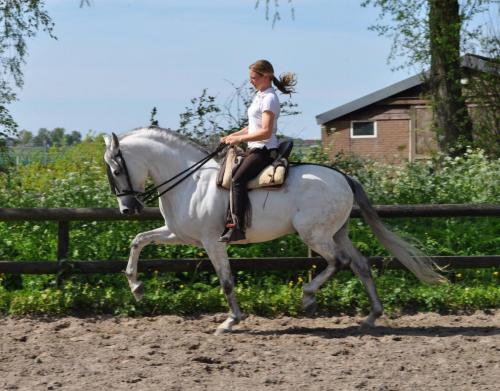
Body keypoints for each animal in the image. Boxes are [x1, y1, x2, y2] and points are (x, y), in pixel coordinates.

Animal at [103, 127, 444, 336]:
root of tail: (344, 177)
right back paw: (371, 316)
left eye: (117, 169)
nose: (127, 209)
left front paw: (230, 321)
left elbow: (226, 281)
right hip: (336, 233)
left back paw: (309, 298)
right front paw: (137, 287)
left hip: (314, 235)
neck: (191, 182)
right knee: (360, 264)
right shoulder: (178, 234)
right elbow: (138, 241)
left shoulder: (213, 242)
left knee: (339, 262)